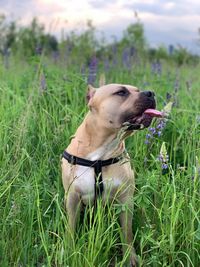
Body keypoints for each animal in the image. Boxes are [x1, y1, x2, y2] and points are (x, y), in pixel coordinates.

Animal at [61, 83, 162, 266]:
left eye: (138, 90)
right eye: (121, 92)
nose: (151, 93)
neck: (100, 156)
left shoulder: (125, 200)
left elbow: (127, 232)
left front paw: (130, 257)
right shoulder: (72, 197)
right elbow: (70, 228)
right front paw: (68, 252)